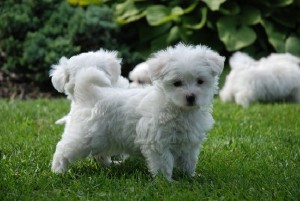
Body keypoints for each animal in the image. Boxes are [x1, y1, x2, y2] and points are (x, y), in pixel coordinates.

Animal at [51, 42, 225, 181]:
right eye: (177, 83)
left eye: (200, 81)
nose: (191, 97)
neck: (176, 108)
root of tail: (89, 94)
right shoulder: (157, 142)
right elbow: (164, 163)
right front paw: (167, 182)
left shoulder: (189, 143)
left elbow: (189, 161)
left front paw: (191, 177)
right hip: (85, 136)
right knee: (63, 148)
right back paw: (57, 171)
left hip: (101, 139)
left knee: (99, 153)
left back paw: (109, 165)